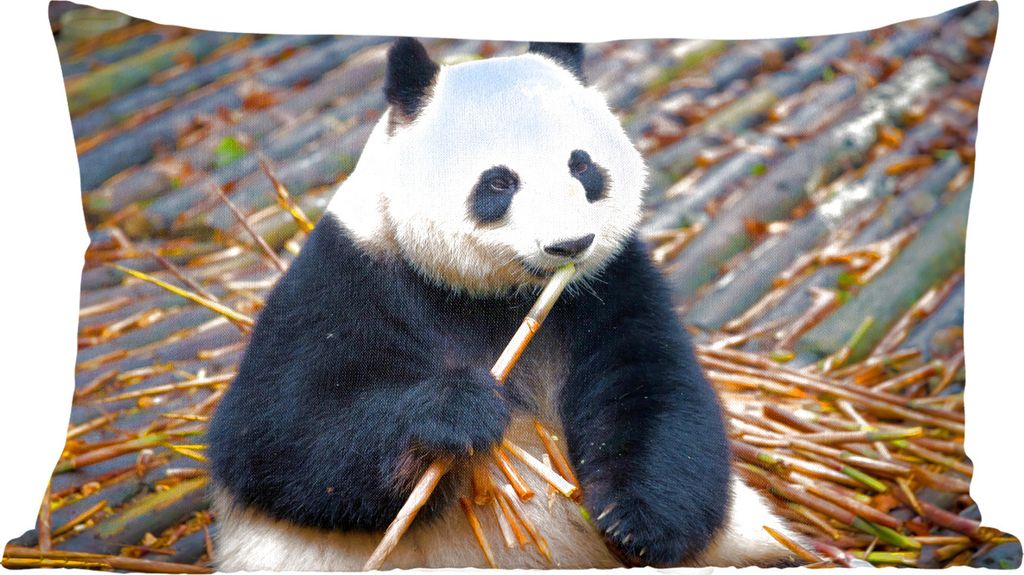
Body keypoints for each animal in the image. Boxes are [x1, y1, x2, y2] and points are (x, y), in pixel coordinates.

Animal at [207, 38, 803, 570]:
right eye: (498, 183)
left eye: (582, 166)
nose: (569, 245)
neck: (498, 297)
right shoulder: (345, 279)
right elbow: (279, 434)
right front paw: (458, 409)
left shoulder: (611, 284)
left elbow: (655, 388)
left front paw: (636, 523)